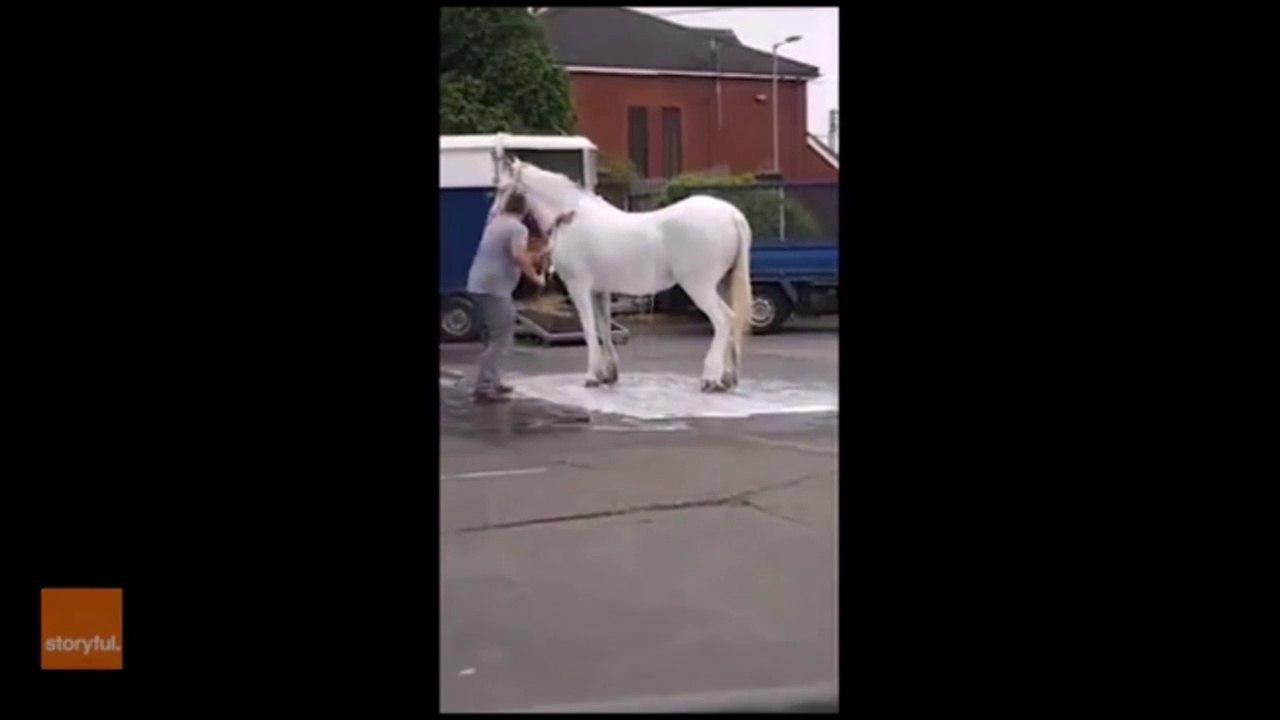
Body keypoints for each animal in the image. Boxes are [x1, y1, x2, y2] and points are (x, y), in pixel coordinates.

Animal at [491, 155, 753, 393]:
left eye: (502, 187)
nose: (493, 215)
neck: (571, 216)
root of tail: (732, 215)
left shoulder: (579, 287)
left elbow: (589, 328)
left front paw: (592, 376)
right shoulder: (600, 290)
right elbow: (604, 327)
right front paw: (609, 375)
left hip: (699, 286)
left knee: (723, 320)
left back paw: (709, 379)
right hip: (721, 285)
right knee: (733, 320)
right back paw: (727, 379)